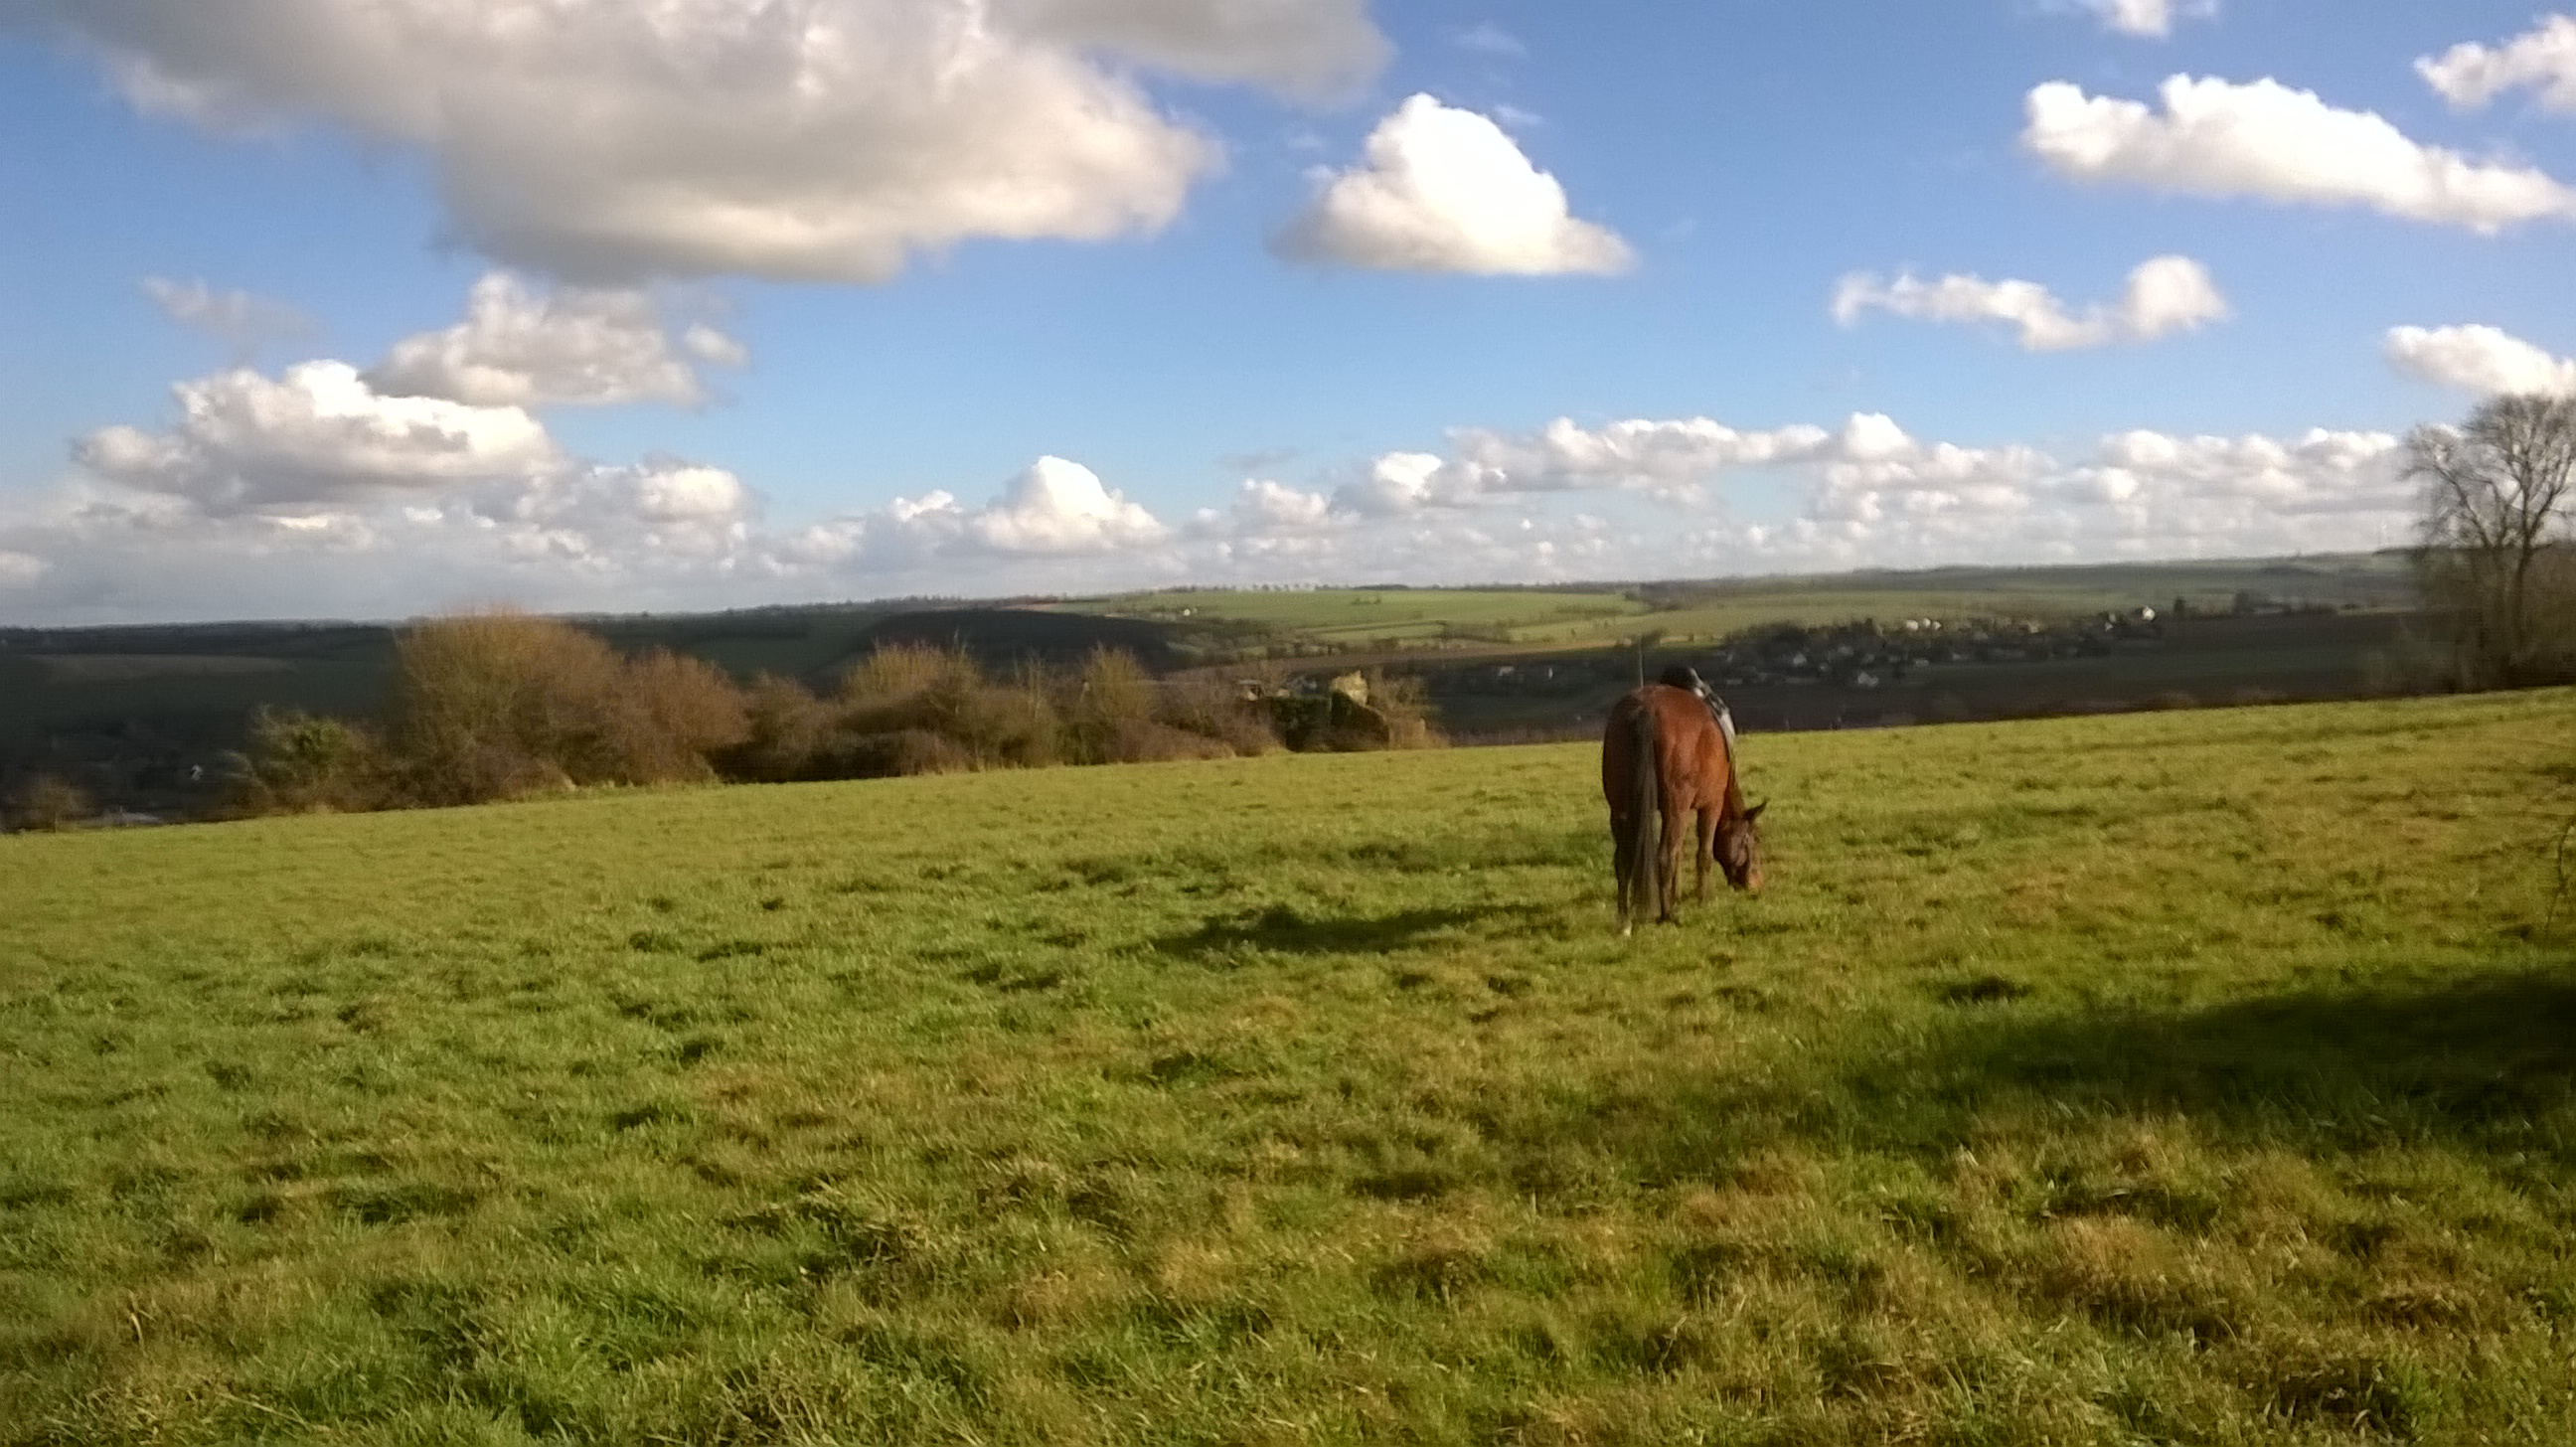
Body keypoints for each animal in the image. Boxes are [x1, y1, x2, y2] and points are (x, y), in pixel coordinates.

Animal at [1600, 682, 1765, 934]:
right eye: (1753, 839)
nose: (1756, 883)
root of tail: (1645, 709)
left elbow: (1678, 855)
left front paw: (1676, 895)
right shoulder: (1709, 805)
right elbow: (1703, 854)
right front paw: (1701, 899)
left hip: (1621, 810)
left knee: (1623, 860)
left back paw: (1624, 920)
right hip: (1676, 808)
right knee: (1663, 857)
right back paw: (1667, 915)